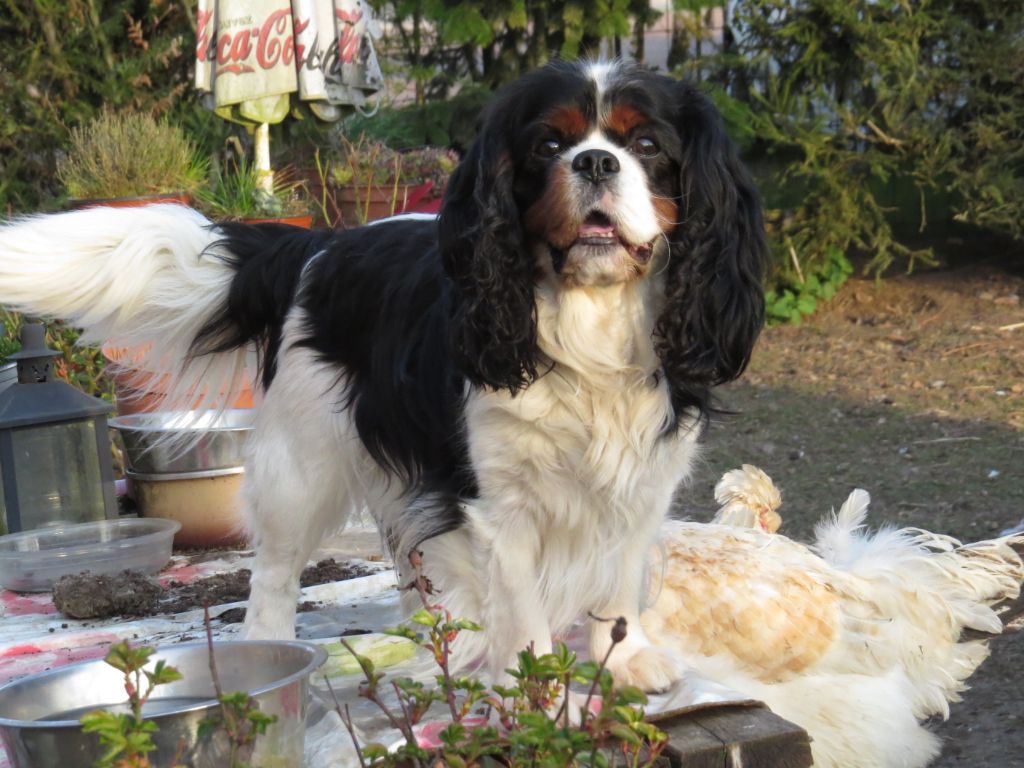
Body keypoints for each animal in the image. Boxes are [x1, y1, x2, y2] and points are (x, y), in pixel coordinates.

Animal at [0, 60, 765, 692]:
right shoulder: (500, 506)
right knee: (274, 572)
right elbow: (521, 601)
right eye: (549, 147)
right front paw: (537, 685)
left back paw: (437, 638)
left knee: (409, 553)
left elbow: (619, 582)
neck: (591, 313)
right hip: (300, 465)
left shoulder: (638, 486)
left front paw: (625, 661)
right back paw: (269, 658)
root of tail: (319, 243)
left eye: (648, 147)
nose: (597, 161)